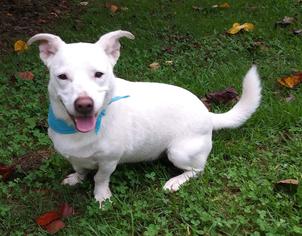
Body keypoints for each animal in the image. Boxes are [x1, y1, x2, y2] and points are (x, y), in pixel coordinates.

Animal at [27, 30, 260, 206]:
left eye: (99, 74)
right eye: (62, 77)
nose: (84, 104)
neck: (78, 131)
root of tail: (208, 115)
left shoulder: (109, 162)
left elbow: (100, 178)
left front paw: (101, 196)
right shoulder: (74, 157)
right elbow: (80, 168)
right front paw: (77, 178)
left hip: (178, 152)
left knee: (197, 170)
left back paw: (176, 181)